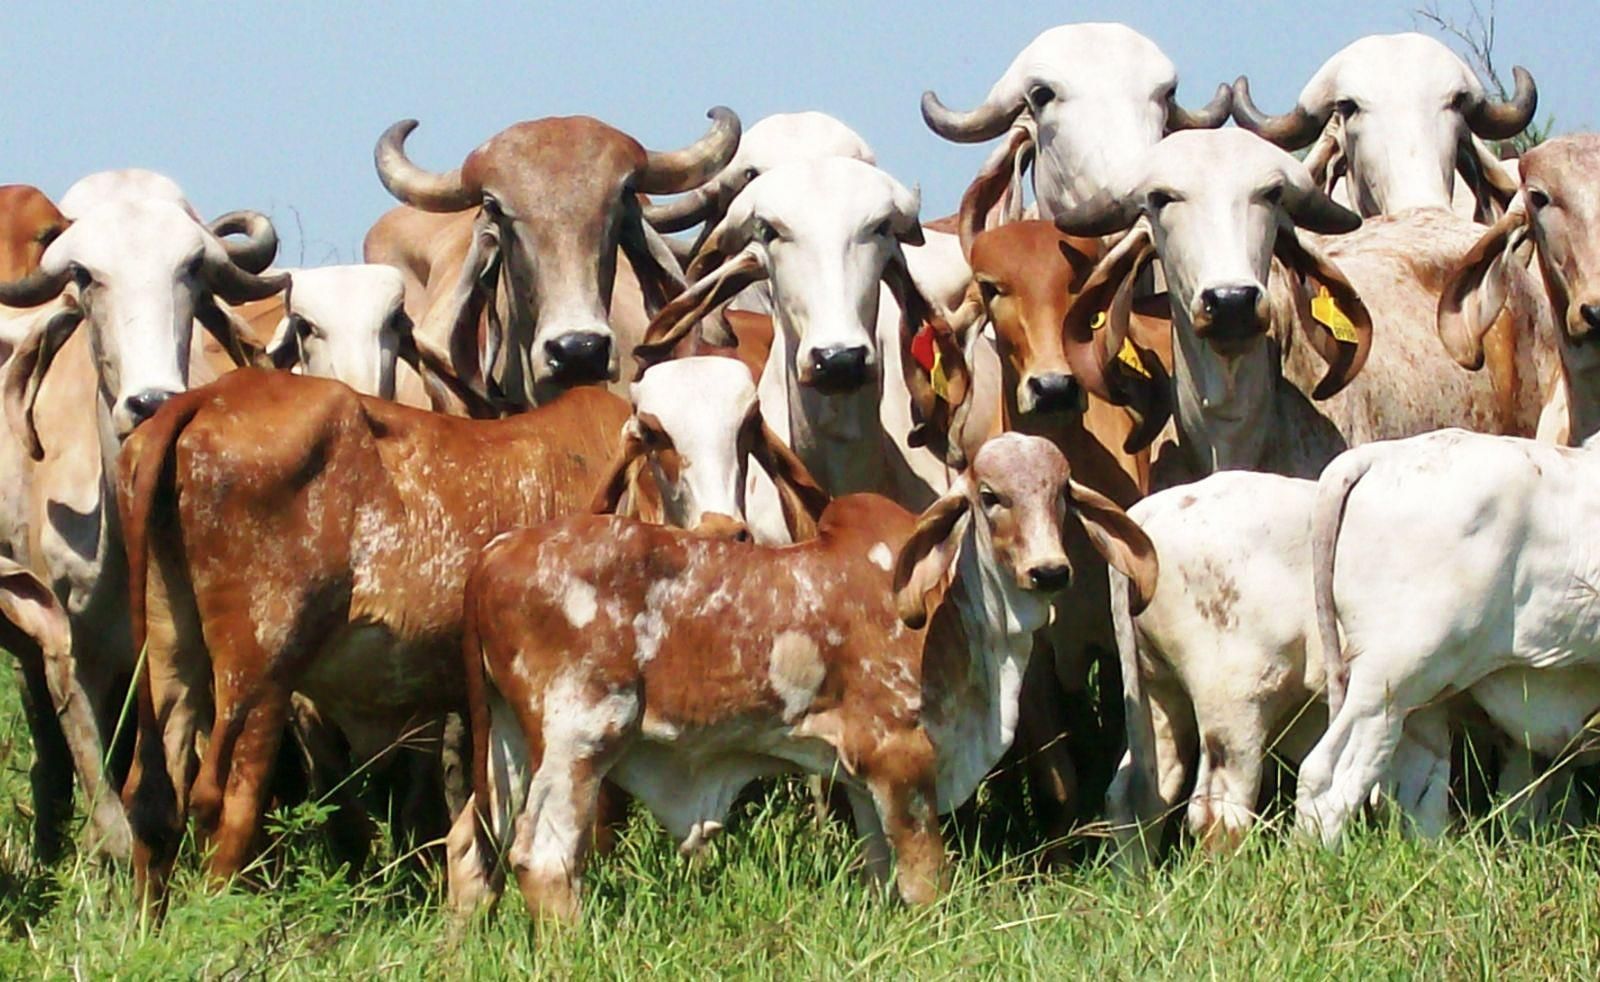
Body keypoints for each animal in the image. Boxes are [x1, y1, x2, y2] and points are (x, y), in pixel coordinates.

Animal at [444, 432, 1158, 920]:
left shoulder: (860, 774)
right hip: (580, 738)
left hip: (509, 744)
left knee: (472, 846)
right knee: (544, 858)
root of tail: (495, 555)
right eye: (990, 497)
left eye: (1061, 495)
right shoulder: (901, 756)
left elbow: (881, 871)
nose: (1050, 571)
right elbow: (924, 875)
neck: (959, 624)